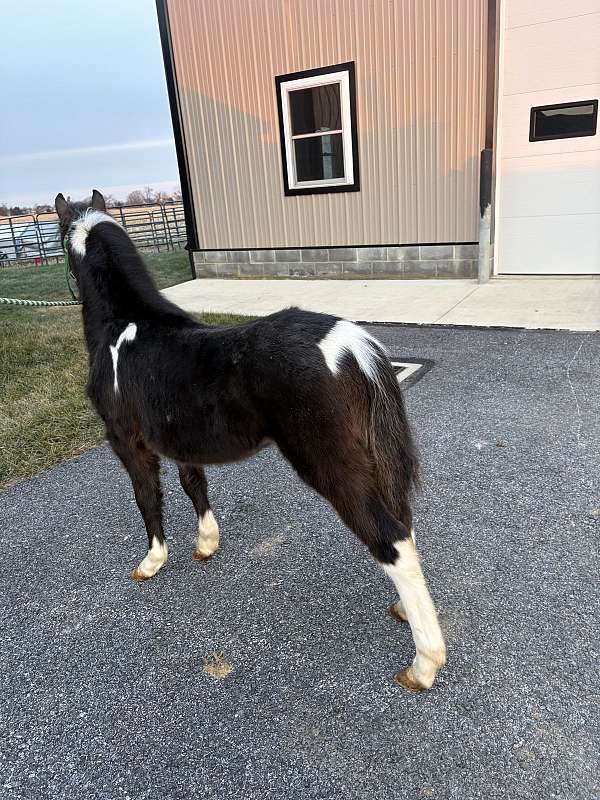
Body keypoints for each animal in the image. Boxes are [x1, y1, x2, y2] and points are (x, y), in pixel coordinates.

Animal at [55, 190, 446, 691]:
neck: (124, 330)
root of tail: (354, 346)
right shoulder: (179, 440)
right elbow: (193, 485)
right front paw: (206, 544)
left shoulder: (128, 442)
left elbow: (146, 497)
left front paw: (152, 562)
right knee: (402, 527)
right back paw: (405, 611)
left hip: (334, 467)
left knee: (390, 539)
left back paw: (424, 664)